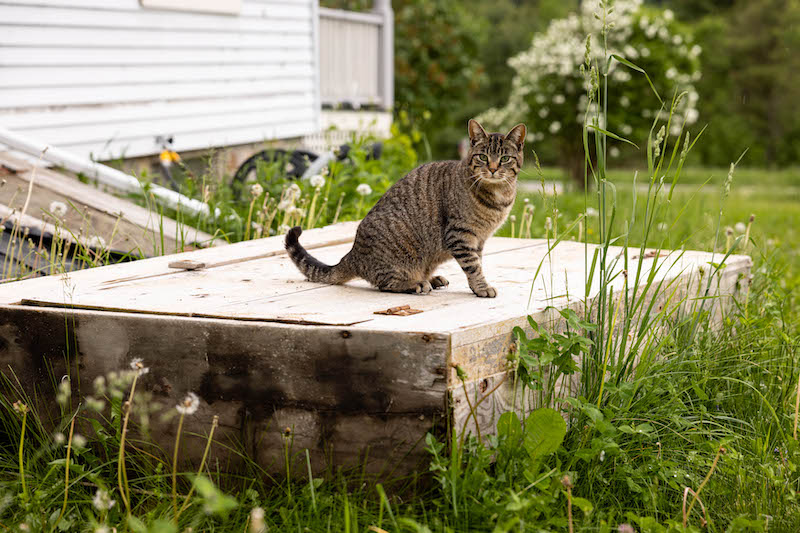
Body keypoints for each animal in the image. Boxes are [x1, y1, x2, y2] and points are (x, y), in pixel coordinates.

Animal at [284, 118, 528, 298]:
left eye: (505, 158)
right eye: (483, 157)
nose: (493, 169)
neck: (498, 195)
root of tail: (352, 254)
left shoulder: (479, 240)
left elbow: (477, 262)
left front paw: (478, 285)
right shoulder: (460, 234)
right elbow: (473, 265)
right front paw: (481, 287)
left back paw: (431, 278)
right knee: (385, 283)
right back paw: (416, 283)